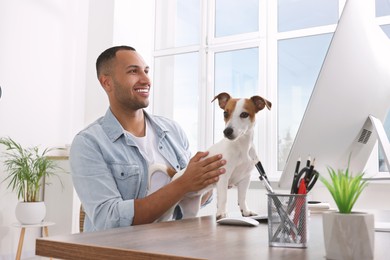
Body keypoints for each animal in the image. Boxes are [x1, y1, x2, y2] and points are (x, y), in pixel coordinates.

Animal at [149, 92, 272, 220]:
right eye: (225, 113)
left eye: (244, 114)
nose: (227, 131)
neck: (241, 146)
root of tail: (176, 175)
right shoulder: (223, 177)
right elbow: (223, 197)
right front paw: (222, 213)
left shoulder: (245, 179)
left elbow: (242, 197)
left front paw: (246, 212)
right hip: (167, 210)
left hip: (191, 209)